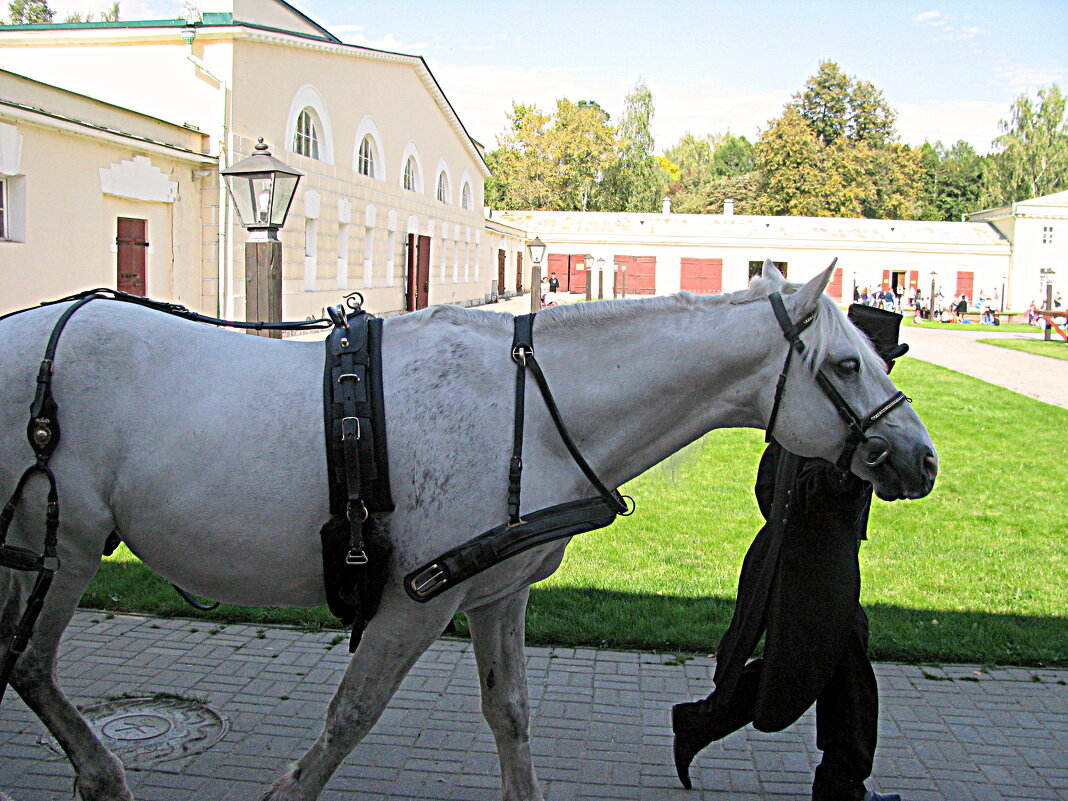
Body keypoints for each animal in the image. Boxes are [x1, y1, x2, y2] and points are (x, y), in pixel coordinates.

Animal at [0, 264, 935, 801]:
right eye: (846, 363)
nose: (921, 459)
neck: (532, 412)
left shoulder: (495, 592)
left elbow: (510, 714)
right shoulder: (415, 602)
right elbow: (351, 715)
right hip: (66, 542)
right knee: (30, 664)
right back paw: (102, 773)